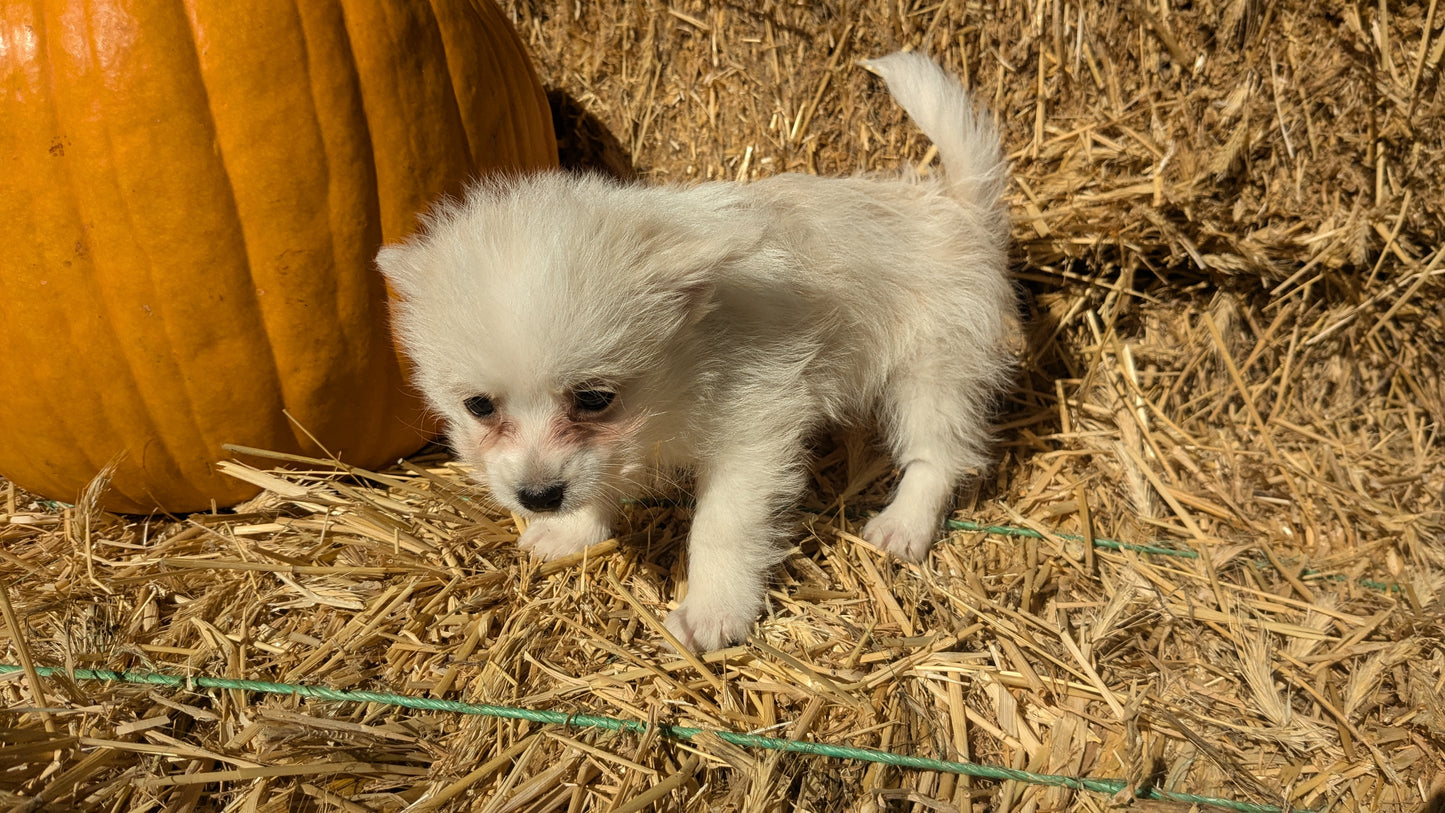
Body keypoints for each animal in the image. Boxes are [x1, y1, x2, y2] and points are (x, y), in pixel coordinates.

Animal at [378, 50, 1023, 652]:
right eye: (479, 406)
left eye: (595, 398)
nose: (537, 498)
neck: (682, 365)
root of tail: (959, 206)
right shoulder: (616, 452)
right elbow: (598, 481)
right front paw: (574, 530)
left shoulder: (754, 438)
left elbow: (720, 529)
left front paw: (713, 614)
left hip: (933, 376)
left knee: (938, 455)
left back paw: (902, 525)